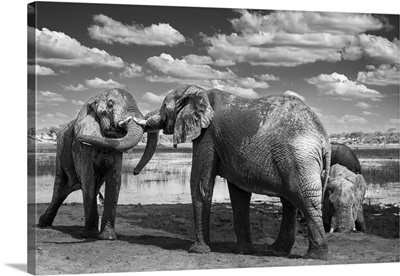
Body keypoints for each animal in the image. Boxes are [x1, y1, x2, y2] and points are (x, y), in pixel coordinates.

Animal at [38, 88, 158, 239]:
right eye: (110, 104)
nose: (135, 172)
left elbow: (115, 180)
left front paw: (108, 237)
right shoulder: (82, 148)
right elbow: (88, 178)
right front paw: (89, 236)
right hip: (60, 152)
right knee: (60, 189)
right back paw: (43, 224)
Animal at [133, 85, 330, 260]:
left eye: (164, 106)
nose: (135, 172)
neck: (199, 92)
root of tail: (323, 138)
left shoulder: (207, 135)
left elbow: (200, 183)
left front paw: (199, 251)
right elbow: (238, 194)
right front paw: (243, 251)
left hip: (299, 156)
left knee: (305, 198)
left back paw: (314, 256)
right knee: (290, 201)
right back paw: (277, 251)